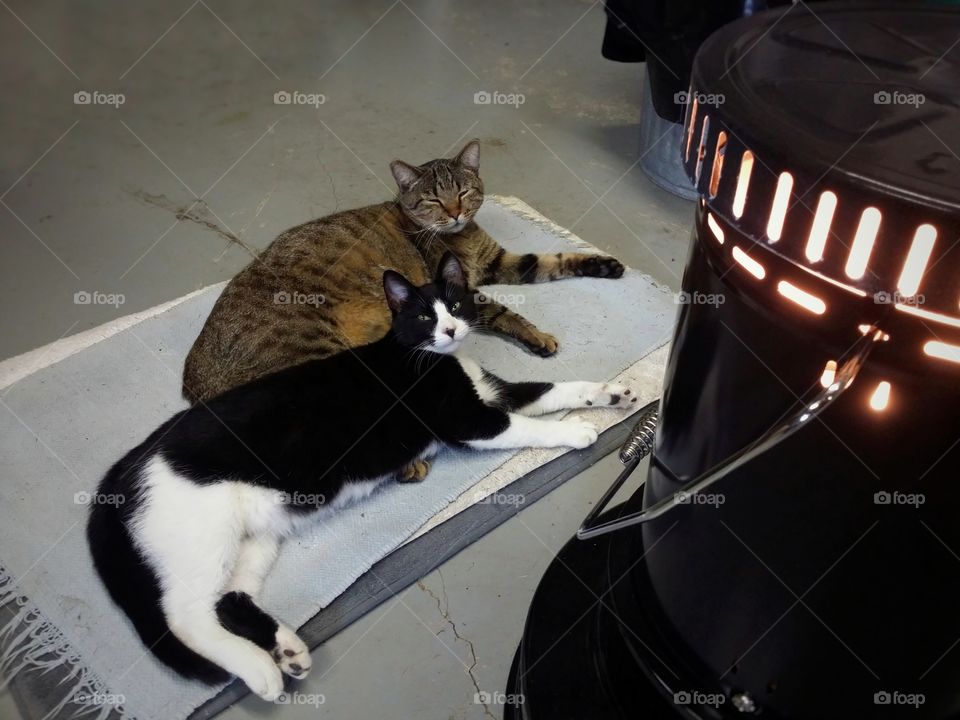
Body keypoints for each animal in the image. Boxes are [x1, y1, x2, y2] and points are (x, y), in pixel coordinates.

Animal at [86, 252, 632, 696]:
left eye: (455, 305)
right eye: (423, 316)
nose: (450, 331)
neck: (433, 359)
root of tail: (127, 465)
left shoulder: (495, 393)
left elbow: (558, 388)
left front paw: (612, 393)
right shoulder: (471, 422)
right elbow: (530, 425)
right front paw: (577, 431)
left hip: (255, 535)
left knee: (229, 600)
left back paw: (286, 651)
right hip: (202, 534)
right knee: (186, 616)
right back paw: (259, 672)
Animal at [184, 139, 628, 410]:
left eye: (463, 192)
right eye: (432, 198)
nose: (455, 212)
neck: (461, 235)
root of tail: (195, 377)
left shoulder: (500, 261)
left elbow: (555, 259)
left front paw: (603, 264)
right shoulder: (460, 288)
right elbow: (506, 311)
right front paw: (537, 336)